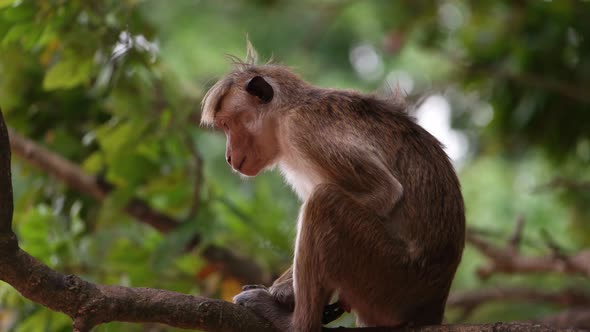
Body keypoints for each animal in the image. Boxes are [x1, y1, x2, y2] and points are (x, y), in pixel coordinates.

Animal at [202, 47, 468, 332]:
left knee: (324, 201)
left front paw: (283, 290)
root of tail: (434, 302)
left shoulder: (303, 129)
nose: (229, 157)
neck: (285, 114)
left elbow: (385, 192)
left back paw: (295, 322)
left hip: (394, 276)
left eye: (228, 124)